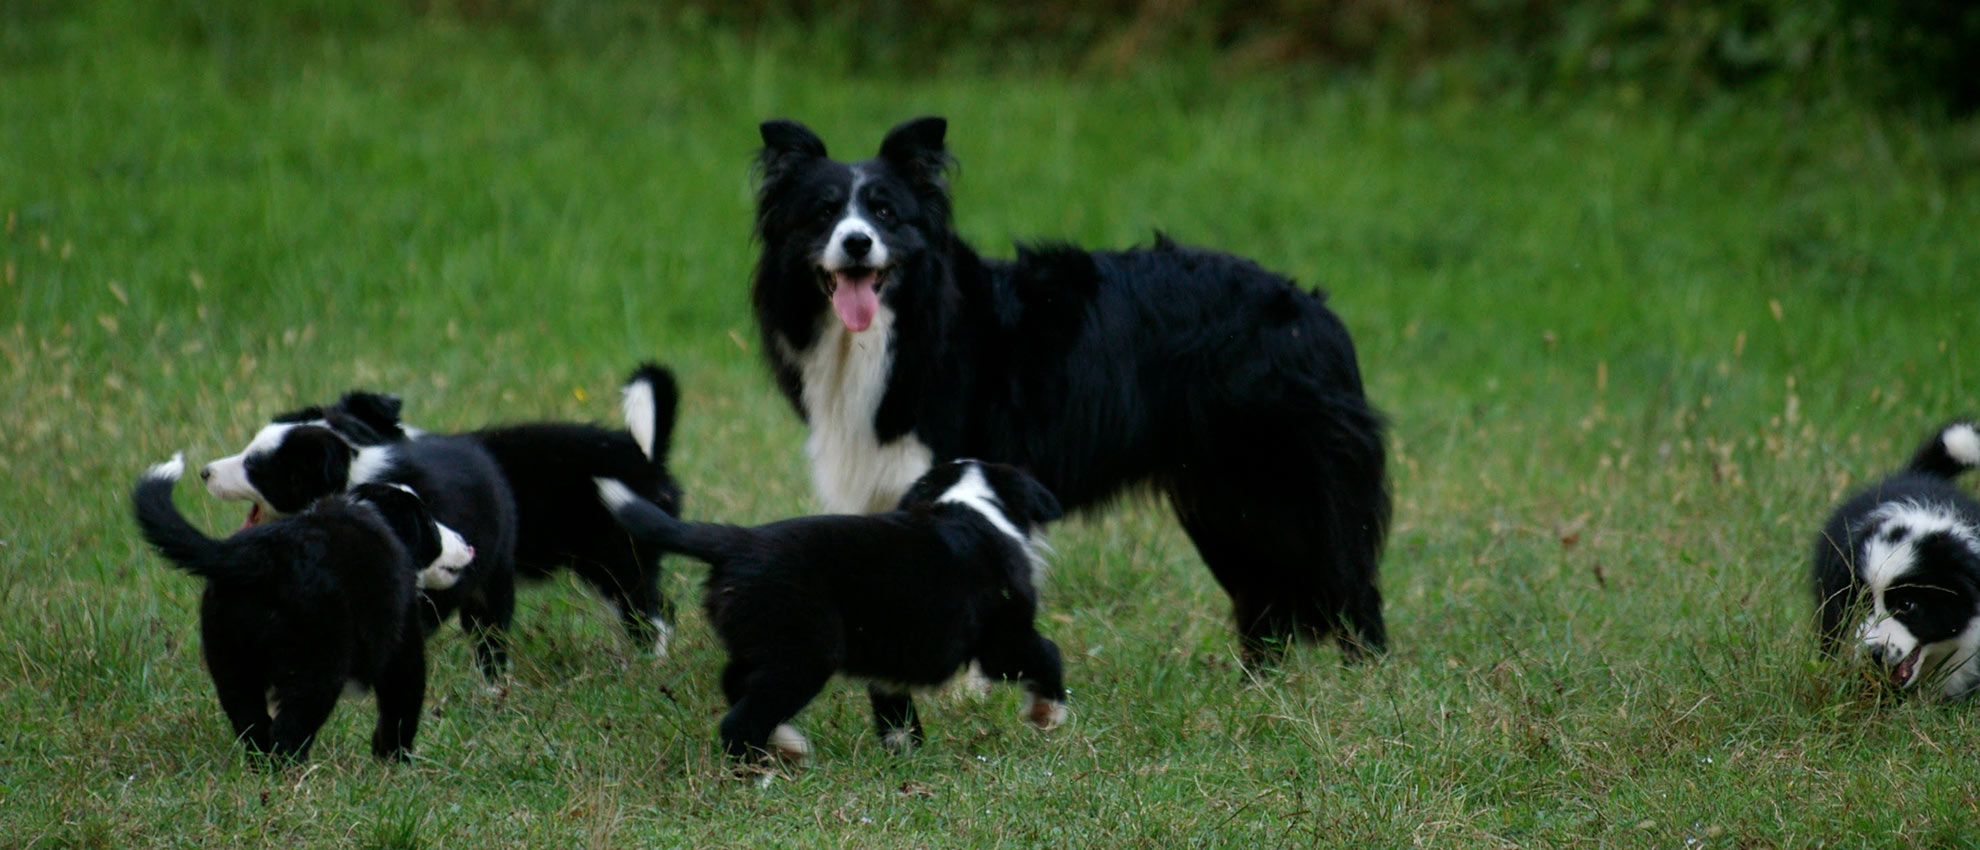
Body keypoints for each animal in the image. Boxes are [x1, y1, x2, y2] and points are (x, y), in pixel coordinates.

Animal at [132, 453, 475, 764]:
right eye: (429, 524)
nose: (467, 544)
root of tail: (261, 556)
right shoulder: (402, 642)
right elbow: (402, 704)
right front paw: (393, 762)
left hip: (231, 656)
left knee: (250, 720)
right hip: (317, 663)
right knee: (291, 727)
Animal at [597, 459, 1069, 764]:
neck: (972, 503)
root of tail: (738, 542)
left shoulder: (890, 661)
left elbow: (896, 715)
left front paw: (907, 757)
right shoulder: (1003, 639)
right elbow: (1048, 654)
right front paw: (1049, 714)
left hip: (762, 638)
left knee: (734, 682)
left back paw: (786, 745)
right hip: (804, 654)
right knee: (738, 723)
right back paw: (761, 773)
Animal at [744, 115, 1393, 665]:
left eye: (884, 214)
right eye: (823, 213)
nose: (857, 243)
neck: (898, 328)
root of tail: (1318, 314)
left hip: (1290, 477)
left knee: (1347, 576)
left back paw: (1365, 680)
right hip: (1225, 497)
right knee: (1263, 593)